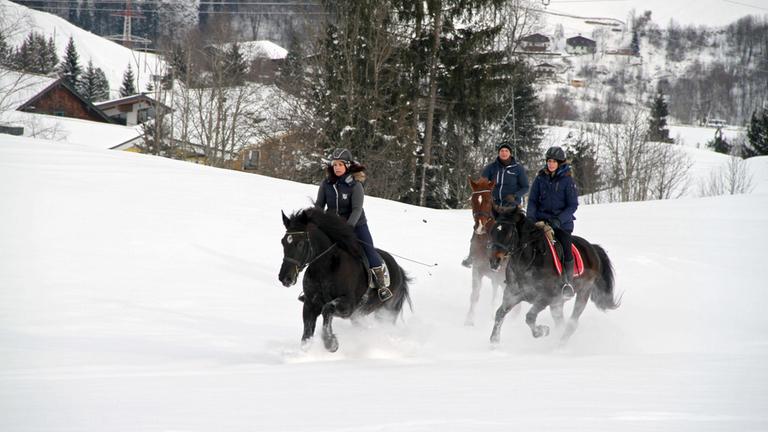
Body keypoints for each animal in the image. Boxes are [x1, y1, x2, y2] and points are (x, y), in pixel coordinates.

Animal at [274, 208, 408, 352]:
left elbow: (327, 308)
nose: (285, 277)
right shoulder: (310, 304)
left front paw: (330, 343)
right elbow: (307, 332)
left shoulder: (348, 305)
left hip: (386, 312)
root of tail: (399, 269)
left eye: (300, 243)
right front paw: (308, 348)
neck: (325, 268)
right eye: (283, 242)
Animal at [488, 206, 620, 344]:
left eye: (509, 233)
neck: (526, 264)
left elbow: (530, 317)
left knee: (572, 323)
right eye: (492, 232)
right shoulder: (513, 295)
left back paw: (560, 344)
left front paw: (542, 331)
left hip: (583, 292)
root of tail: (592, 248)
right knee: (560, 321)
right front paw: (494, 341)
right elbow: (499, 313)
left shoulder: (546, 297)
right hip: (558, 302)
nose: (494, 261)